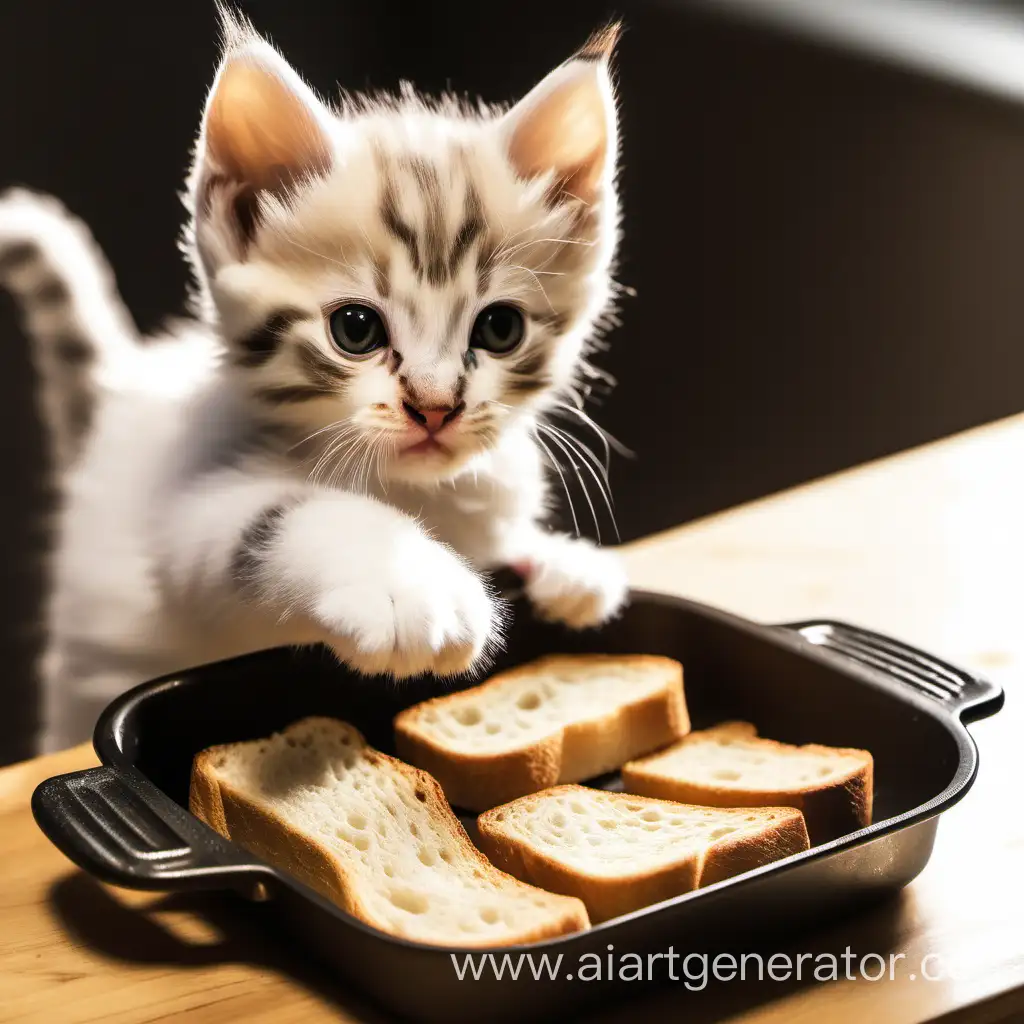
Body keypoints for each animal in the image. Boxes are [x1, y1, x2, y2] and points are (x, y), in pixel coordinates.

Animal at [0, 9, 626, 753]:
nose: (435, 407)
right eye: (355, 330)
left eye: (500, 329)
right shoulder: (192, 509)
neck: (417, 491)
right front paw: (406, 580)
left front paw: (560, 564)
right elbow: (278, 517)